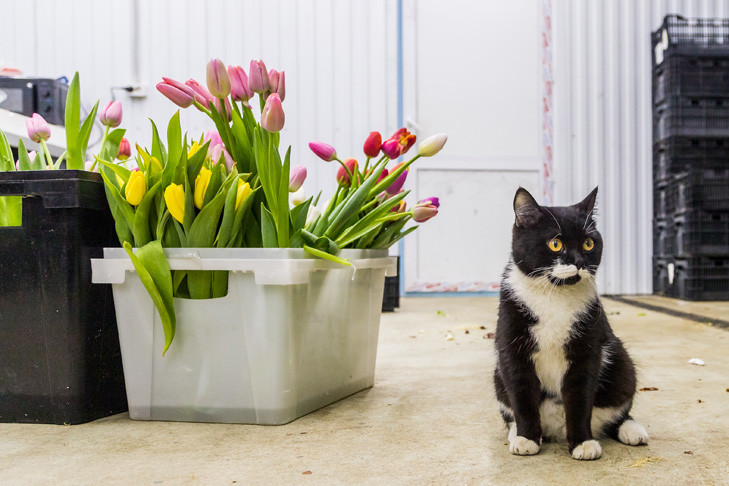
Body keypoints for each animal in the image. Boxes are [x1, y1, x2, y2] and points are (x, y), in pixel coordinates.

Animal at [494, 186, 648, 460]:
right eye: (555, 244)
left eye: (588, 243)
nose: (578, 261)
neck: (555, 295)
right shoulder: (511, 347)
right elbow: (521, 393)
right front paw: (526, 438)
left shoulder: (587, 349)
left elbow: (580, 397)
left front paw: (582, 443)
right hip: (496, 378)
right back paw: (516, 433)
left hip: (622, 364)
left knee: (618, 410)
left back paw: (632, 430)